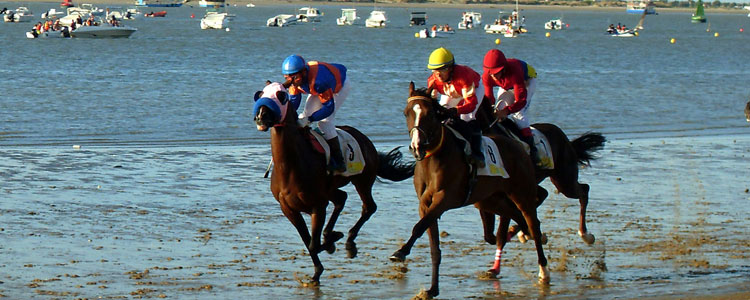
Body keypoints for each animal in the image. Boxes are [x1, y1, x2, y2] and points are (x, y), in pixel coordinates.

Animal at [256, 82, 414, 284]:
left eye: (281, 96)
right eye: (260, 94)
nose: (261, 116)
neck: (291, 167)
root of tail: (365, 139)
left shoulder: (318, 205)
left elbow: (313, 244)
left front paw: (333, 241)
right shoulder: (289, 209)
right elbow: (308, 242)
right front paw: (317, 270)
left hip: (362, 180)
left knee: (368, 207)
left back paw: (349, 242)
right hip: (332, 188)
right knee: (341, 198)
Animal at [390, 82, 548, 300]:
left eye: (429, 114)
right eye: (406, 113)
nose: (416, 146)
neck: (434, 158)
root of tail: (518, 145)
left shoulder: (444, 199)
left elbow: (419, 227)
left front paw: (401, 252)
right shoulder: (425, 204)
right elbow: (433, 246)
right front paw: (432, 289)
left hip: (522, 193)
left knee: (532, 222)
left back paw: (543, 270)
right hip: (490, 199)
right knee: (516, 218)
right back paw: (521, 234)